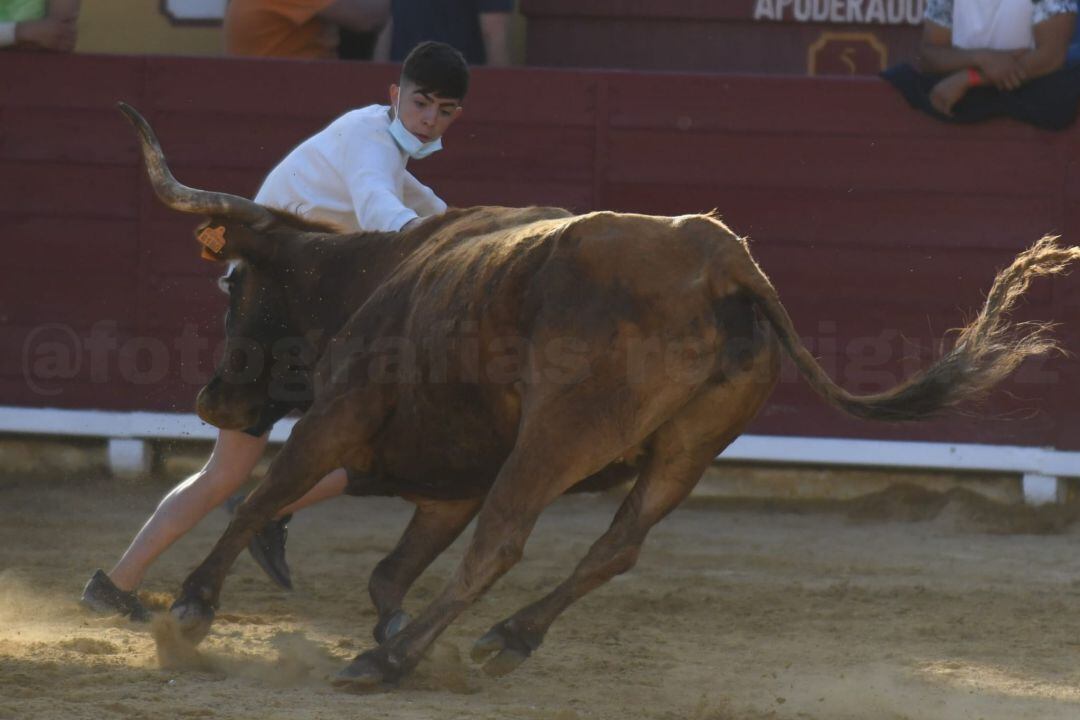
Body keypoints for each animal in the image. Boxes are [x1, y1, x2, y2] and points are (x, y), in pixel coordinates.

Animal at [118, 104, 1080, 690]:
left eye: (236, 288)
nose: (211, 400)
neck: (374, 274)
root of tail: (723, 261)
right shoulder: (454, 475)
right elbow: (391, 564)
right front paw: (393, 627)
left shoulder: (338, 417)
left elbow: (263, 497)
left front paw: (192, 611)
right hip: (688, 450)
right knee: (616, 547)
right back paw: (499, 640)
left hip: (560, 431)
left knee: (503, 543)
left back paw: (387, 665)